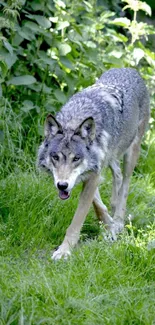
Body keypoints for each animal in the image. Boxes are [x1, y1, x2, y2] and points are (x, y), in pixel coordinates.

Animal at [37, 67, 150, 260]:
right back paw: (114, 210)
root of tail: (129, 69)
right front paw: (108, 225)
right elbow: (97, 204)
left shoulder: (94, 173)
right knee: (117, 175)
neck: (75, 118)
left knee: (125, 185)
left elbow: (78, 220)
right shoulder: (91, 172)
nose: (62, 185)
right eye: (55, 157)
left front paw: (64, 251)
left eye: (76, 158)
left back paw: (119, 219)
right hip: (112, 157)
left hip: (131, 153)